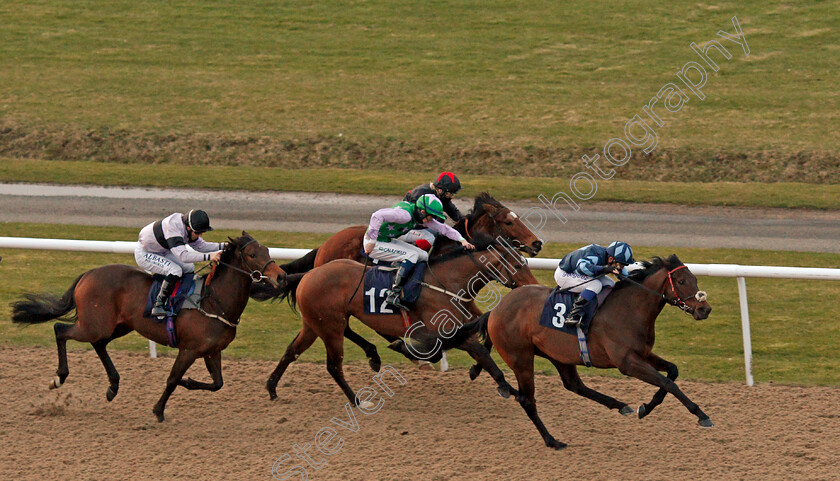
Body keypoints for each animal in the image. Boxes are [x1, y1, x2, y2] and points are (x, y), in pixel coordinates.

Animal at [10, 232, 286, 420]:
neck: (214, 300)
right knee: (60, 330)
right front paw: (159, 409)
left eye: (267, 250)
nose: (281, 276)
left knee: (98, 344)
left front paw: (188, 383)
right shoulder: (189, 349)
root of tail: (87, 274)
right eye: (252, 255)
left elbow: (217, 384)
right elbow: (172, 379)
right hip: (95, 325)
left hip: (117, 326)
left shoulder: (211, 351)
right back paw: (59, 378)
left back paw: (113, 386)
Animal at [264, 233, 540, 404]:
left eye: (525, 262)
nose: (534, 286)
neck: (446, 281)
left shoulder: (458, 325)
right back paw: (357, 400)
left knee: (292, 351)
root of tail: (309, 274)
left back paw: (272, 388)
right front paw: (508, 388)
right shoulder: (448, 329)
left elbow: (481, 345)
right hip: (330, 325)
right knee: (333, 365)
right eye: (517, 265)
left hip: (315, 324)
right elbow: (480, 352)